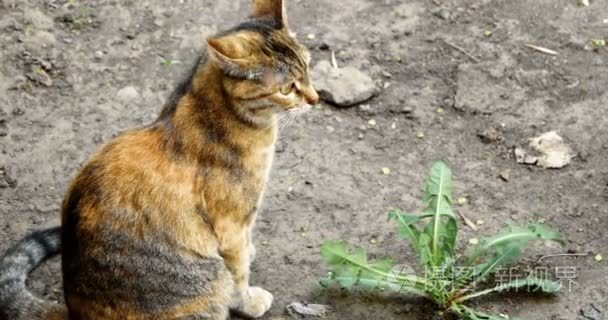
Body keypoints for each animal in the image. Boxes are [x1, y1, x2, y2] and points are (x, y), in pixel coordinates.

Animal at [0, 0, 320, 318]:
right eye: (287, 88)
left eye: (308, 66)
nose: (316, 99)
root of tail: (73, 311)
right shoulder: (231, 225)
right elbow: (238, 275)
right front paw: (250, 300)